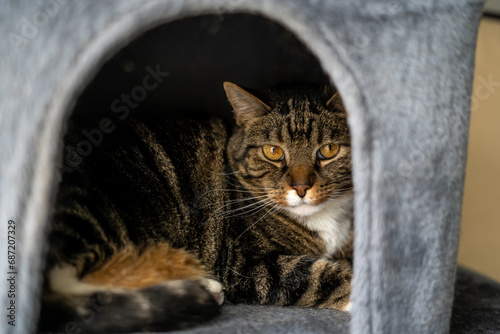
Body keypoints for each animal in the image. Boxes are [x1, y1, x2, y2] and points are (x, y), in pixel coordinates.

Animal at [38, 83, 352, 332]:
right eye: (273, 152)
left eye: (328, 150)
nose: (301, 187)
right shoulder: (244, 264)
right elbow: (317, 276)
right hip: (88, 212)